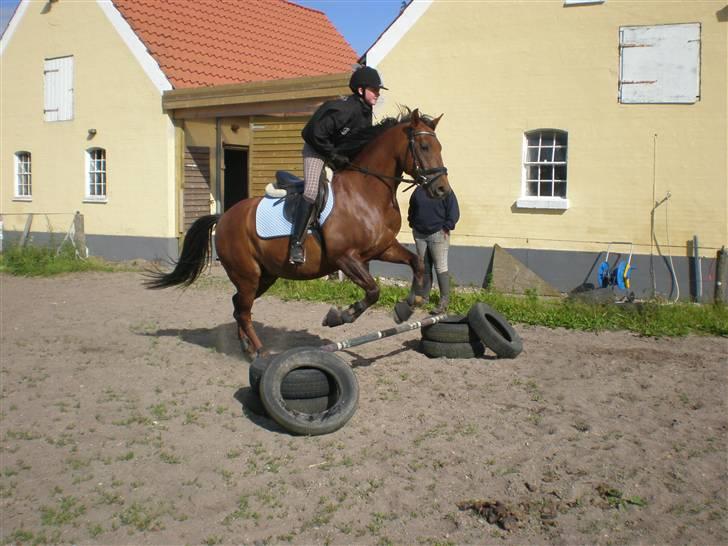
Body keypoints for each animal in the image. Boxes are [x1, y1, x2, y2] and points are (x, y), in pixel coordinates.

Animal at [145, 108, 451, 357]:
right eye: (424, 146)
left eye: (440, 146)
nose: (441, 190)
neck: (367, 190)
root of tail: (225, 217)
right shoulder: (345, 258)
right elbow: (373, 290)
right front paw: (338, 316)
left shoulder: (382, 248)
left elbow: (416, 263)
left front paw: (409, 305)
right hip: (247, 275)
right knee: (243, 310)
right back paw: (259, 352)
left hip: (265, 275)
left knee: (238, 306)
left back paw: (246, 348)